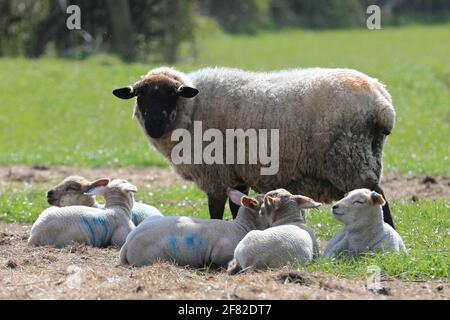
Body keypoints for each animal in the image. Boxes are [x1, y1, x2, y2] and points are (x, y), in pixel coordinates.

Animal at [113, 66, 398, 229]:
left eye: (173, 93)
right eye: (140, 95)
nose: (154, 124)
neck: (192, 109)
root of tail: (382, 102)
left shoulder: (215, 174)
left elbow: (216, 211)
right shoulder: (235, 172)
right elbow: (238, 206)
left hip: (349, 157)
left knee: (377, 196)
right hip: (366, 153)